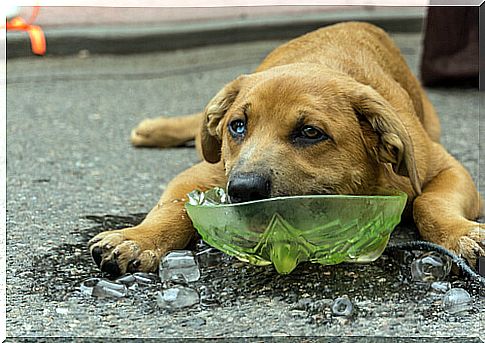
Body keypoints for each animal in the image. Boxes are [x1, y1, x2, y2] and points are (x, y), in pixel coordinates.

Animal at [88, 22, 484, 276]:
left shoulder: (446, 167)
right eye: (237, 126)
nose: (242, 190)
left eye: (310, 132)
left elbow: (429, 202)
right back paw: (155, 129)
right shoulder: (207, 170)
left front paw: (462, 234)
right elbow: (171, 207)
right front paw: (138, 239)